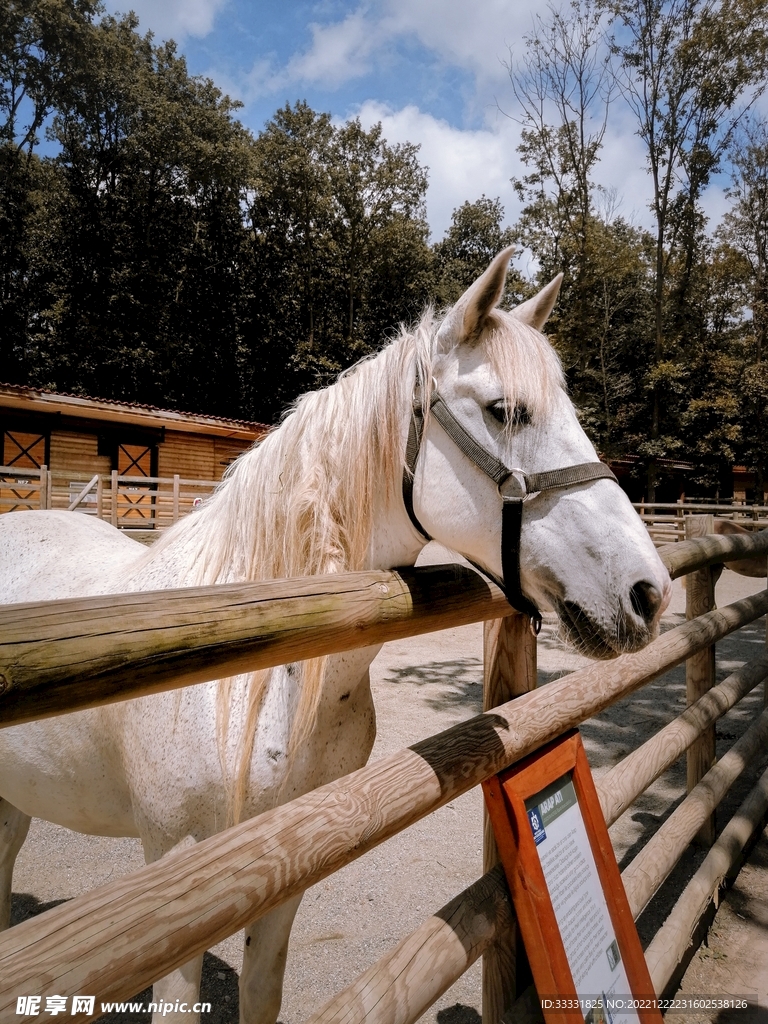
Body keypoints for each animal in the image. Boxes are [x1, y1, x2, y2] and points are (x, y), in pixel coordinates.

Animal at [0, 249, 671, 1023]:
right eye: (505, 410)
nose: (649, 592)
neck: (262, 677)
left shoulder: (284, 869)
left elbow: (263, 991)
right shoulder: (171, 880)